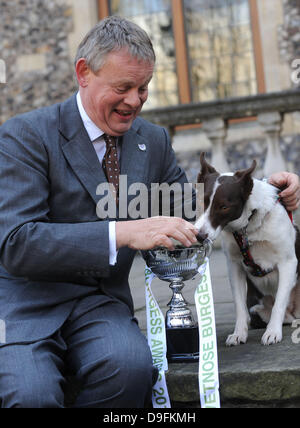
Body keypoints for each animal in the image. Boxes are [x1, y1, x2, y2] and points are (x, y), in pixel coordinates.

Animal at [195, 152, 300, 346]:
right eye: (201, 201)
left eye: (224, 207)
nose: (199, 236)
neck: (248, 226)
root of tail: (295, 313)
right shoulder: (234, 266)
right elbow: (239, 305)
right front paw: (239, 333)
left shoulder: (288, 263)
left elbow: (279, 303)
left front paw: (273, 332)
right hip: (257, 307)